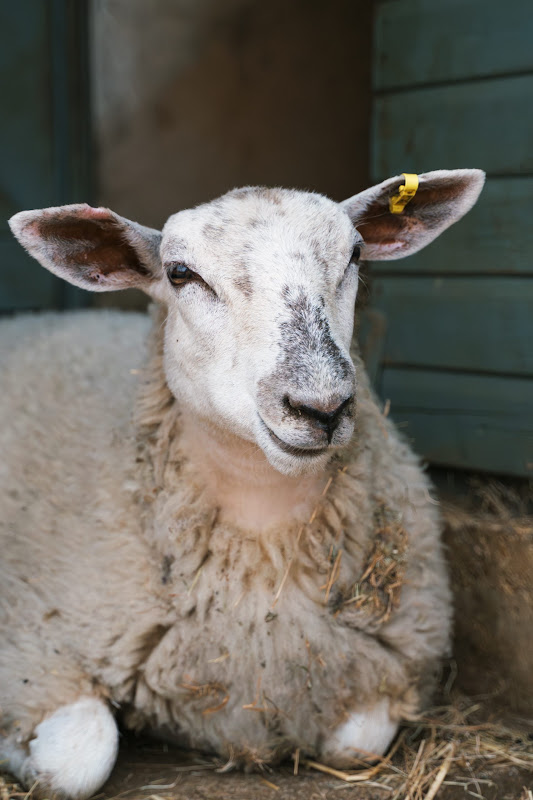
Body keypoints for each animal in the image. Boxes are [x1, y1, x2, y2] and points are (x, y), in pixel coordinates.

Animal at [0, 169, 484, 799]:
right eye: (180, 273)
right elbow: (78, 758)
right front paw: (18, 750)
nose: (321, 406)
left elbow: (357, 742)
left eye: (355, 255)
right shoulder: (33, 649)